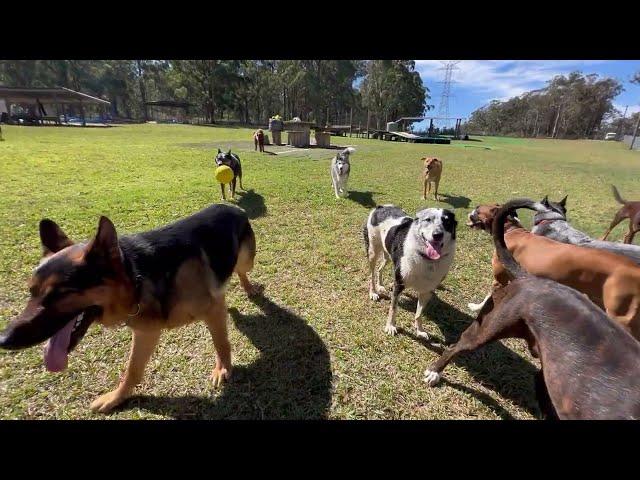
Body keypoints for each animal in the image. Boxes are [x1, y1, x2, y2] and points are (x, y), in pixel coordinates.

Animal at [1, 202, 260, 412]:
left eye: (61, 293)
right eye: (31, 292)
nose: (4, 339)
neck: (137, 277)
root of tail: (231, 206)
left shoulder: (212, 310)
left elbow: (221, 343)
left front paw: (222, 369)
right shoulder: (146, 333)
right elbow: (132, 371)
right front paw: (117, 398)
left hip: (246, 259)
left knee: (241, 271)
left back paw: (248, 288)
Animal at [362, 205, 458, 338]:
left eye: (447, 222)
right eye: (428, 219)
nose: (437, 235)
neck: (426, 259)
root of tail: (380, 207)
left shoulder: (427, 290)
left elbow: (419, 313)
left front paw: (420, 330)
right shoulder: (399, 284)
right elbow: (393, 308)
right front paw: (390, 326)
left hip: (389, 256)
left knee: (380, 269)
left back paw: (380, 285)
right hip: (373, 251)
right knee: (371, 273)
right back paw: (373, 292)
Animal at [464, 201, 640, 340]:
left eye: (477, 210)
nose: (469, 212)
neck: (511, 230)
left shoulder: (500, 280)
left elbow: (488, 298)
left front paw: (476, 307)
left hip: (619, 317)